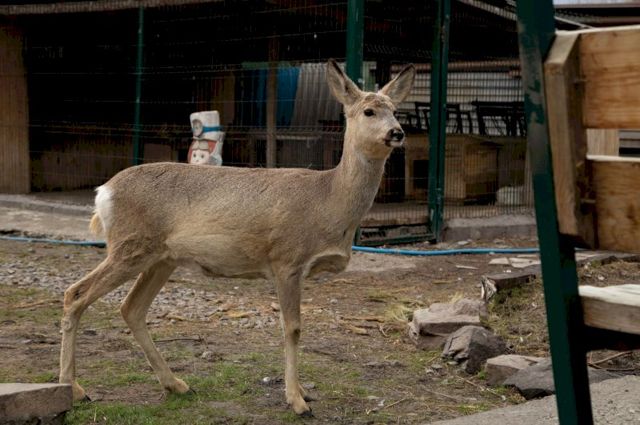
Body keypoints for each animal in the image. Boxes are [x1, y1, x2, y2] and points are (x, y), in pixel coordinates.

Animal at [58, 59, 415, 416]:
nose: (397, 133)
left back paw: (176, 384)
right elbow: (293, 328)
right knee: (76, 293)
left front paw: (303, 392)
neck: (328, 201)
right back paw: (74, 389)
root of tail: (103, 192)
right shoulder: (286, 259)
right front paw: (297, 400)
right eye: (369, 111)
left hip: (161, 257)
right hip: (130, 246)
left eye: (395, 110)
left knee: (131, 308)